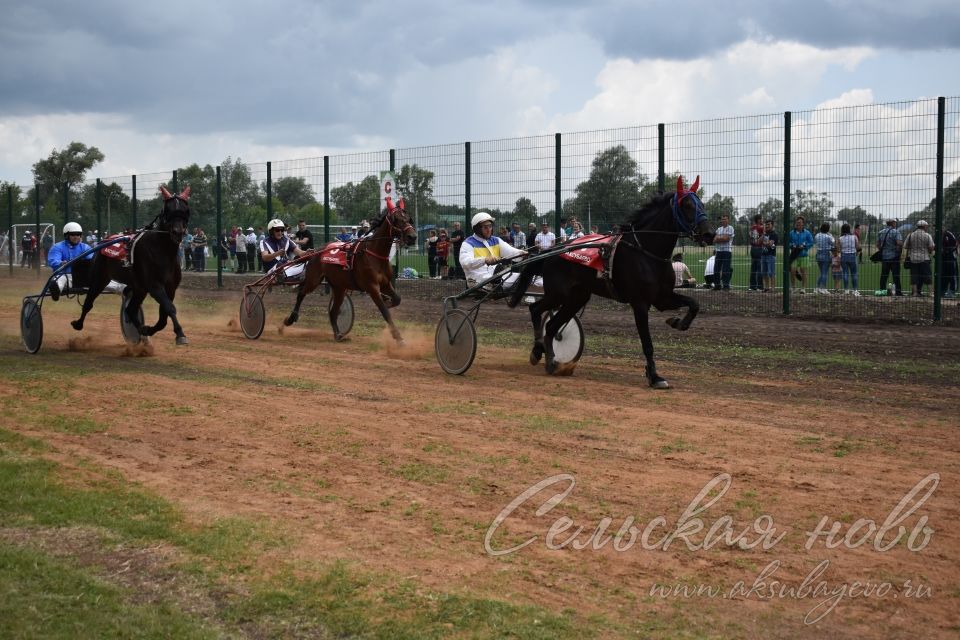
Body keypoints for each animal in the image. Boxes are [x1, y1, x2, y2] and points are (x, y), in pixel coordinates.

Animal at [71, 185, 191, 344]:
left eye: (185, 209)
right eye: (168, 209)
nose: (178, 232)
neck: (162, 250)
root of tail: (105, 239)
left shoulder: (170, 287)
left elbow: (163, 317)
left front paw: (148, 329)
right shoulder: (155, 286)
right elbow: (170, 308)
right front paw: (180, 334)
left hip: (139, 288)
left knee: (130, 309)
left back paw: (140, 329)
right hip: (100, 278)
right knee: (88, 302)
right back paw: (78, 323)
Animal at [284, 198, 420, 342]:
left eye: (408, 219)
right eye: (397, 219)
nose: (412, 237)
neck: (374, 253)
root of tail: (316, 251)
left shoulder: (385, 284)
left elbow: (397, 299)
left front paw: (388, 301)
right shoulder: (372, 287)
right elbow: (384, 311)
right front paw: (398, 336)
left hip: (339, 287)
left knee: (333, 311)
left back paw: (338, 334)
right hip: (314, 280)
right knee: (301, 293)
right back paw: (290, 319)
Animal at [510, 175, 712, 388]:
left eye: (701, 204)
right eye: (687, 205)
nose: (710, 233)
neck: (646, 252)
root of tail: (552, 250)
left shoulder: (663, 298)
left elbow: (694, 304)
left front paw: (678, 322)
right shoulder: (640, 303)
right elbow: (647, 343)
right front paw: (655, 376)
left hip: (577, 298)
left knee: (551, 326)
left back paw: (550, 360)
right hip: (558, 293)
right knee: (536, 310)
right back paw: (538, 351)